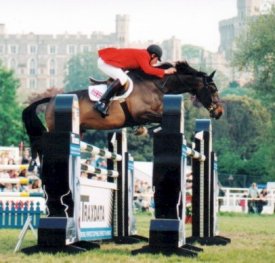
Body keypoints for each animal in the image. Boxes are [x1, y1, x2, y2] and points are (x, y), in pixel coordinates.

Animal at [21, 60, 224, 162]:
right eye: (213, 89)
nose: (219, 112)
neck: (157, 85)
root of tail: (52, 99)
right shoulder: (141, 113)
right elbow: (159, 119)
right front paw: (149, 130)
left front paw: (143, 130)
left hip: (79, 130)